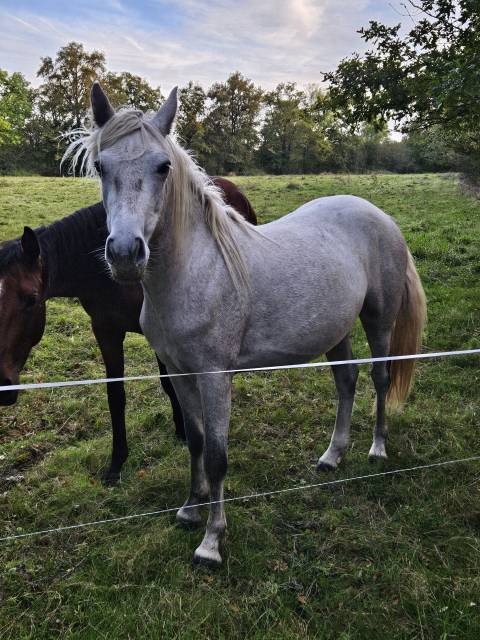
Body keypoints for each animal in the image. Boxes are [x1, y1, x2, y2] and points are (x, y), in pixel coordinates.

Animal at [0, 175, 256, 480]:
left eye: (31, 299)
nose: (1, 384)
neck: (103, 273)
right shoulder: (106, 330)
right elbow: (116, 395)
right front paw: (117, 462)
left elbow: (168, 383)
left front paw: (182, 430)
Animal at [64, 82, 428, 568]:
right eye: (102, 166)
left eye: (163, 167)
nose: (125, 254)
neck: (195, 271)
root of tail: (380, 215)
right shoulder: (180, 372)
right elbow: (196, 442)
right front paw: (189, 509)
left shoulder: (216, 376)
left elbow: (218, 455)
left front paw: (212, 542)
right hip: (336, 330)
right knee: (346, 381)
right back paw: (332, 455)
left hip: (378, 320)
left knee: (380, 378)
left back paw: (377, 448)